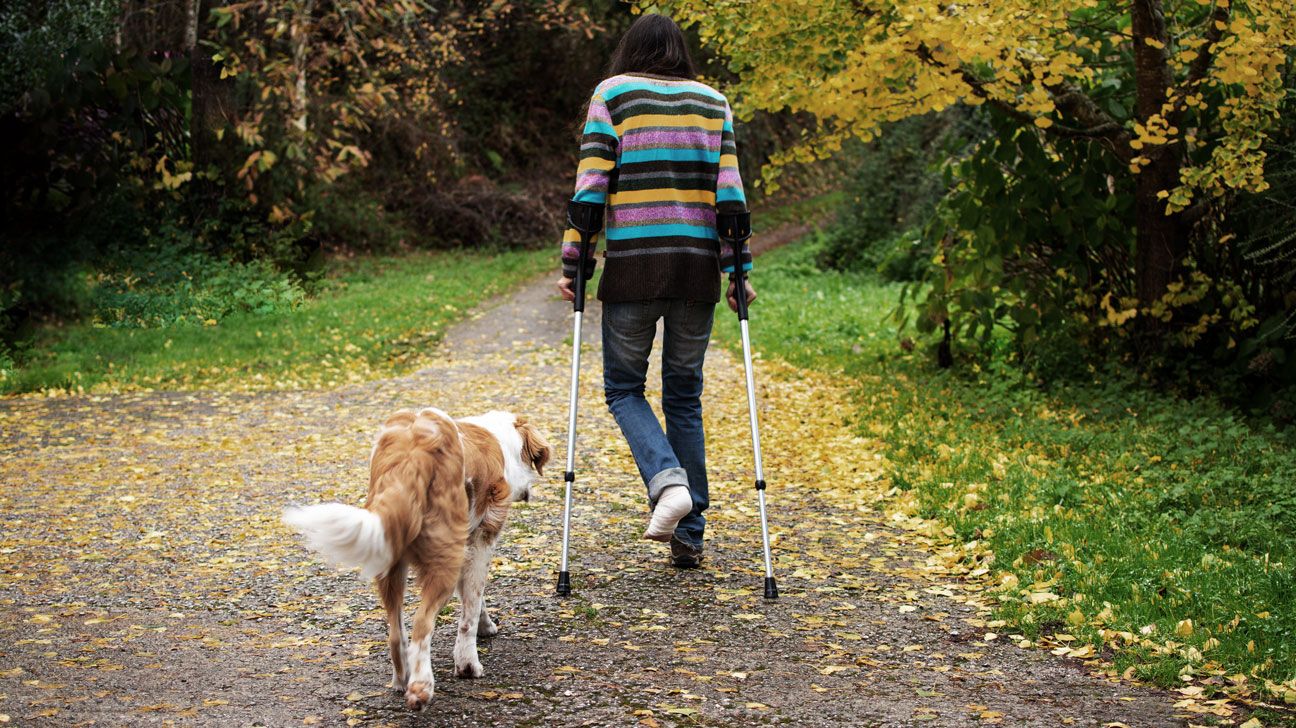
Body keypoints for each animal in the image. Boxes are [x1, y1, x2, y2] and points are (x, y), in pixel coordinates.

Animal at [283, 409, 546, 709]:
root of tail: (413, 449)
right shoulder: (480, 542)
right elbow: (469, 610)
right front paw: (468, 664)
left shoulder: (467, 548)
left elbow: (474, 600)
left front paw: (485, 626)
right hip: (444, 562)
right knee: (421, 626)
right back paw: (421, 687)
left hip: (391, 561)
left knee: (396, 634)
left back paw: (402, 680)